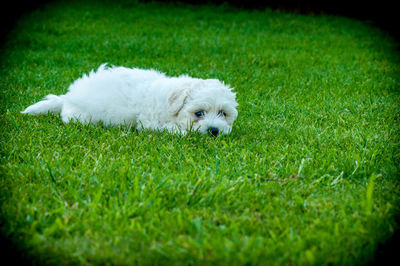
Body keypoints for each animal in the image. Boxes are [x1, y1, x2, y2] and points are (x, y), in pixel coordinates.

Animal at [21, 63, 239, 136]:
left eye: (223, 113)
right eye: (199, 113)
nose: (214, 131)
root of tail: (69, 95)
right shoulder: (149, 122)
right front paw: (184, 133)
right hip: (81, 116)